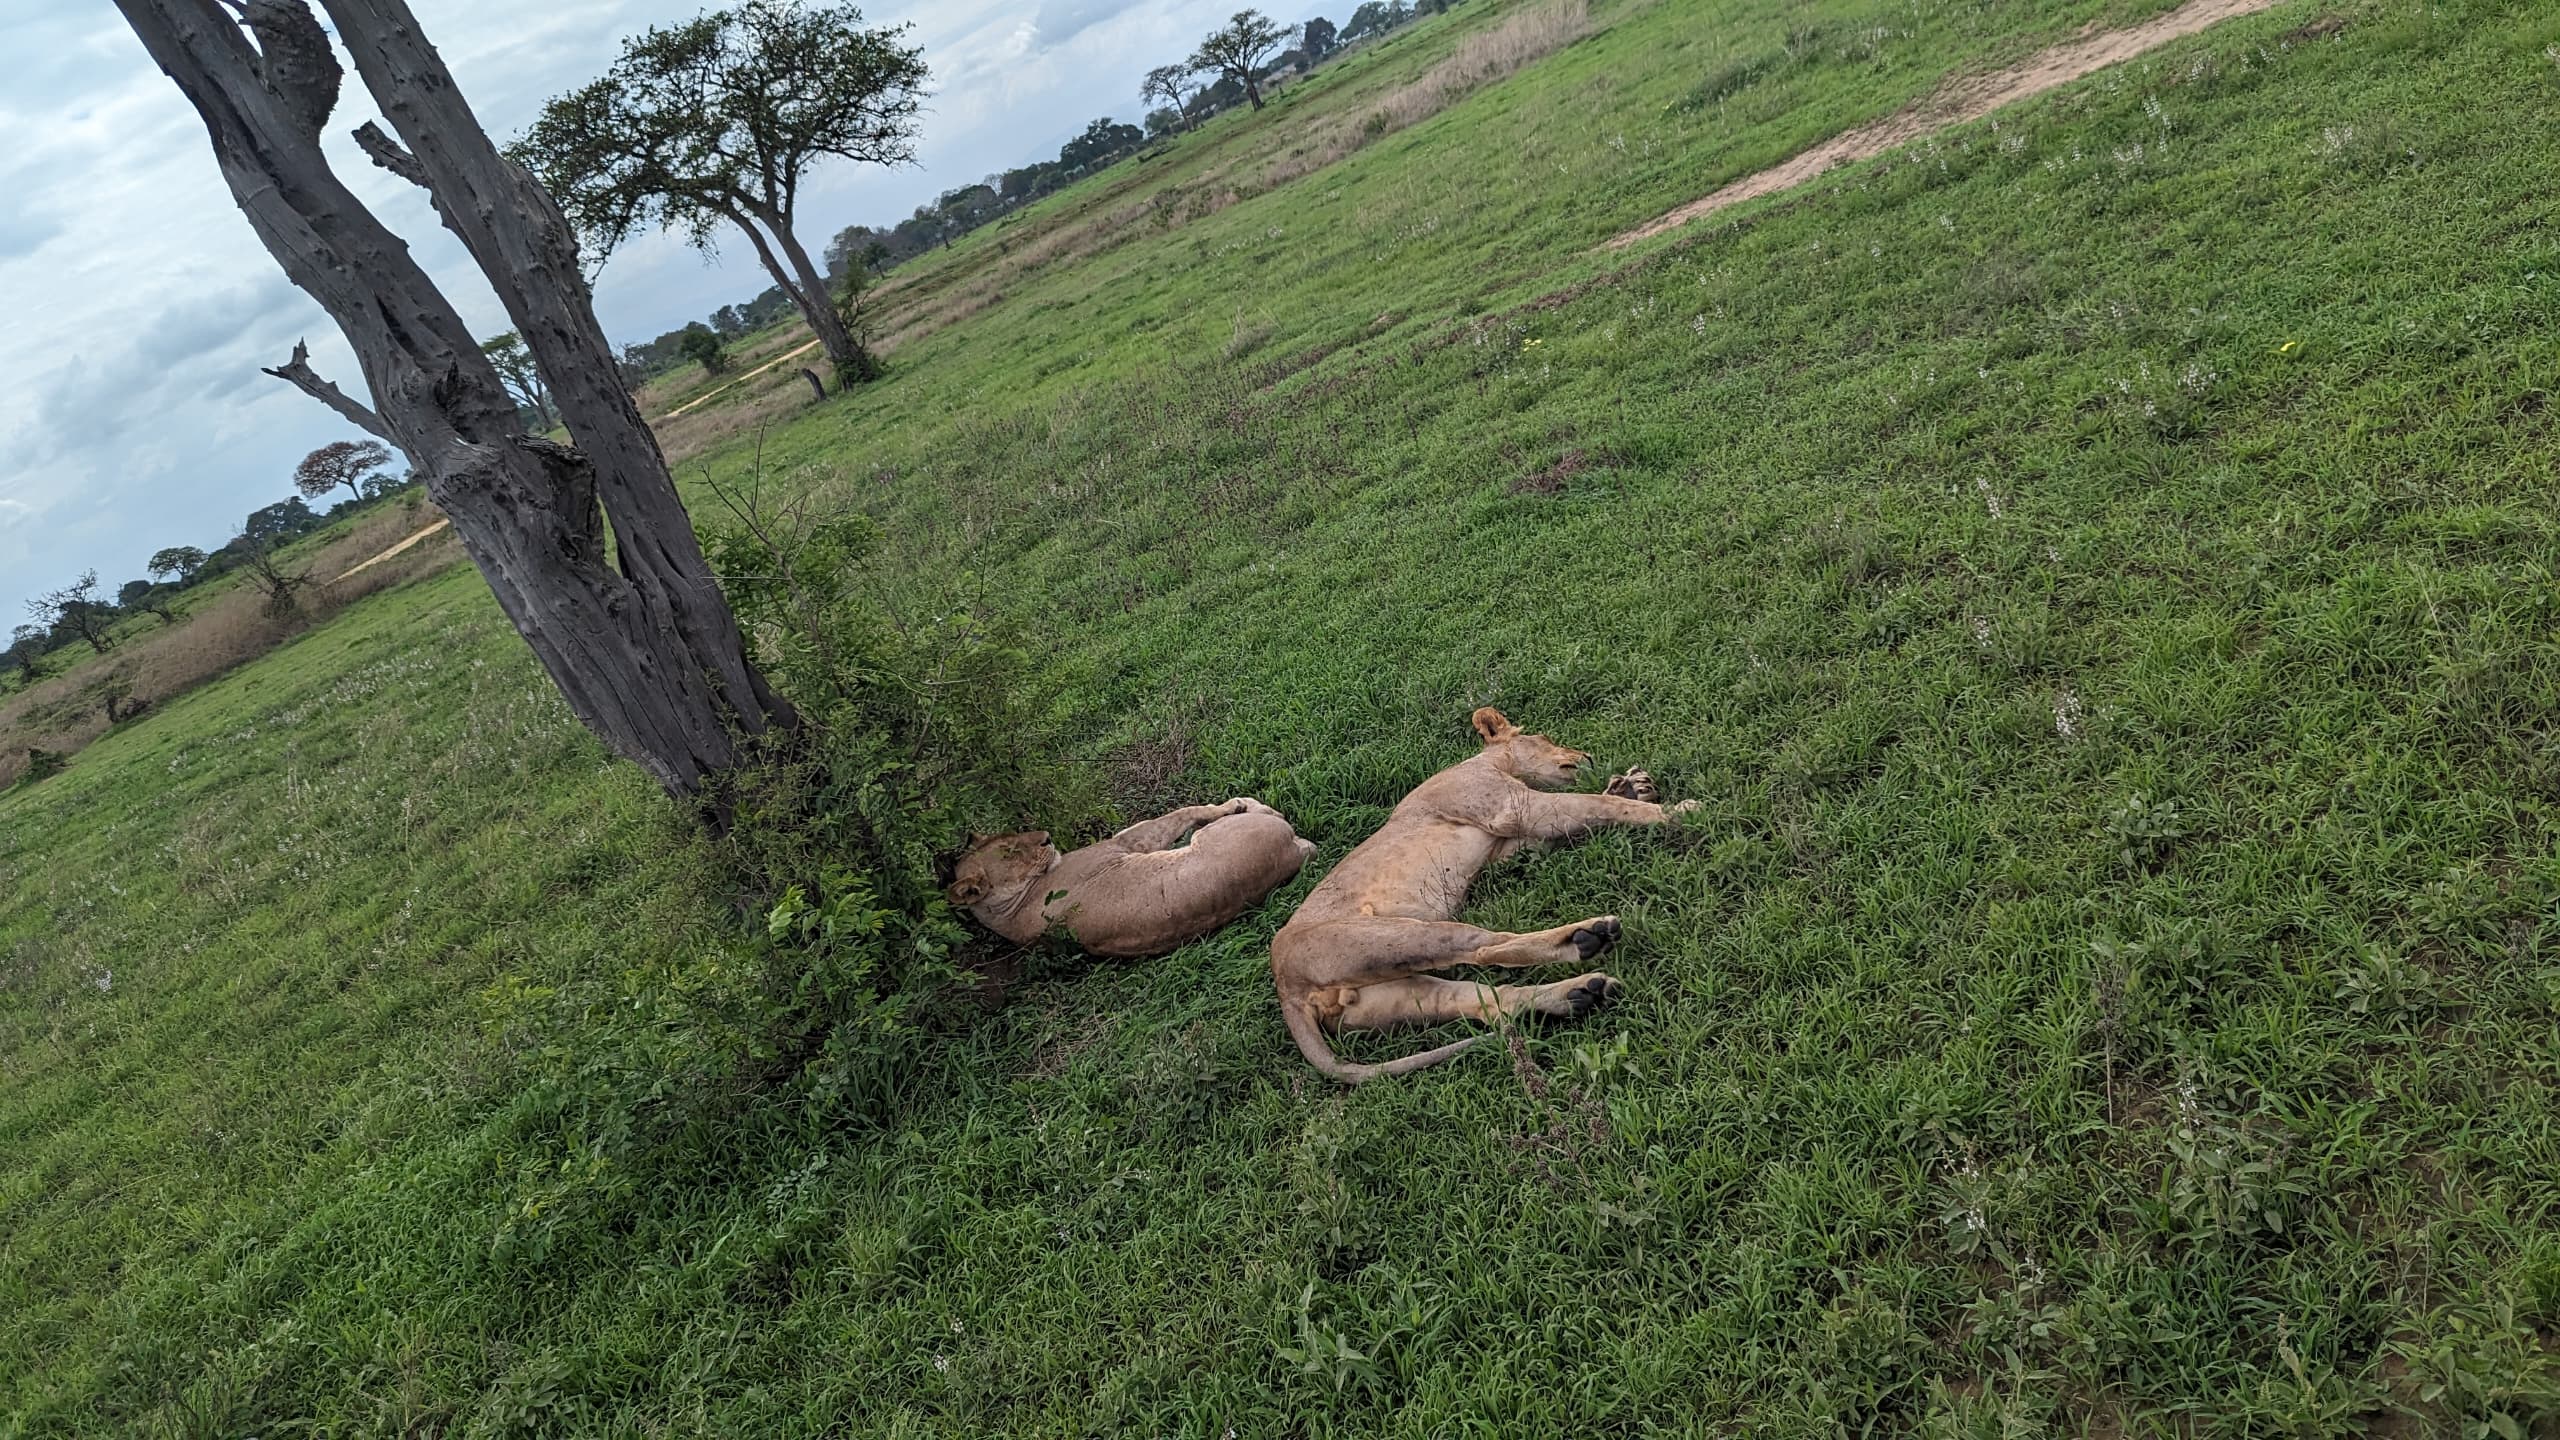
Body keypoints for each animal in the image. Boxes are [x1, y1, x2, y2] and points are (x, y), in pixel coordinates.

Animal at [947, 794, 1320, 953]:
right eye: (1010, 852)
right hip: (1214, 837)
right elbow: (1182, 813)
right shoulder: (1124, 842)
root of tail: (1291, 850)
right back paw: (1249, 804)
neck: (1013, 908)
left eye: (1013, 835)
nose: (1047, 838)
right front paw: (1231, 804)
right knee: (1268, 813)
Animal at [1269, 702, 1689, 1081]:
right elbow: (1599, 804)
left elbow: (1593, 809)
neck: (1490, 762)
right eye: (1545, 738)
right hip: (1392, 936)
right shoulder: (1515, 808)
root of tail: (1285, 988)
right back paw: (1588, 936)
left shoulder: (1510, 845)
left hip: (1394, 995)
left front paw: (1634, 786)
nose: (1585, 756)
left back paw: (1582, 993)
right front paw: (1678, 811)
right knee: (1487, 947)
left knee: (1484, 1000)